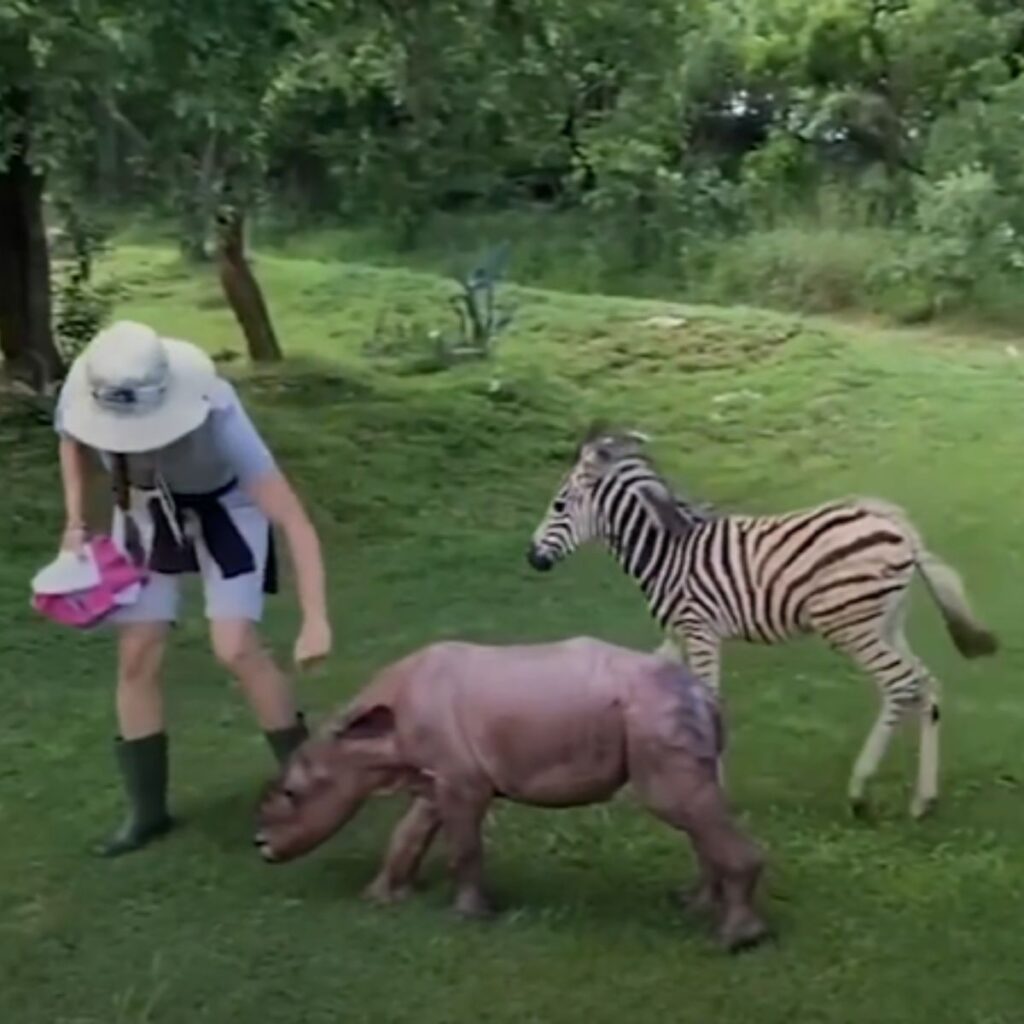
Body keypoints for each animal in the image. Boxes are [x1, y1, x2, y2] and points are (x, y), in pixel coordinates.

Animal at [524, 428, 995, 819]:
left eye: (559, 505)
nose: (532, 558)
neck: (667, 553)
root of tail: (899, 526)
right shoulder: (679, 633)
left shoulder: (699, 630)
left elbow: (708, 700)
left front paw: (711, 790)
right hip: (886, 623)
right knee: (925, 684)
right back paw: (923, 800)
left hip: (849, 626)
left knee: (900, 685)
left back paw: (860, 791)